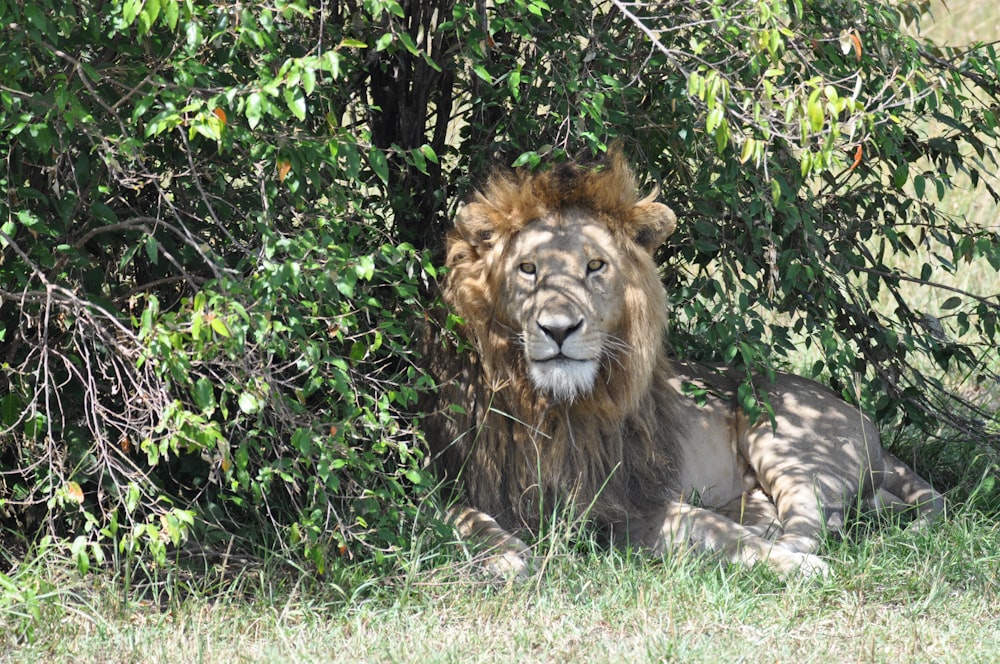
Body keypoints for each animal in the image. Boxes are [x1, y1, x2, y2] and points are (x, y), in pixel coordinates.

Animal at [424, 149, 944, 576]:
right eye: (527, 269)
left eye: (595, 266)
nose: (558, 329)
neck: (553, 407)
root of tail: (869, 427)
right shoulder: (445, 486)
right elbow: (461, 517)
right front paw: (508, 555)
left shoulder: (623, 505)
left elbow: (710, 527)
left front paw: (784, 562)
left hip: (785, 436)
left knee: (815, 522)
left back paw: (789, 546)